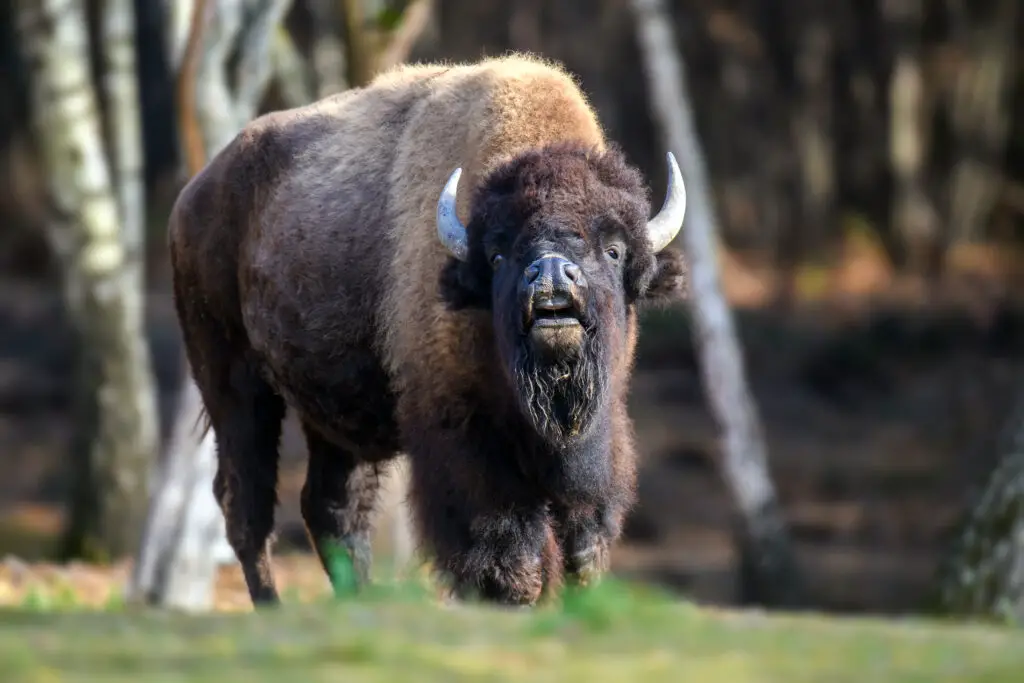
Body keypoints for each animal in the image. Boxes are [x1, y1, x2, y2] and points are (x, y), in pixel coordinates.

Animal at [168, 53, 688, 607]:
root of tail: (191, 198)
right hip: (233, 383)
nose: (550, 276)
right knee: (246, 505)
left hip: (334, 420)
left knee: (330, 510)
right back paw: (272, 605)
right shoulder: (462, 434)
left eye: (613, 250)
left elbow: (583, 541)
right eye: (498, 255)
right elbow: (506, 549)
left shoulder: (598, 438)